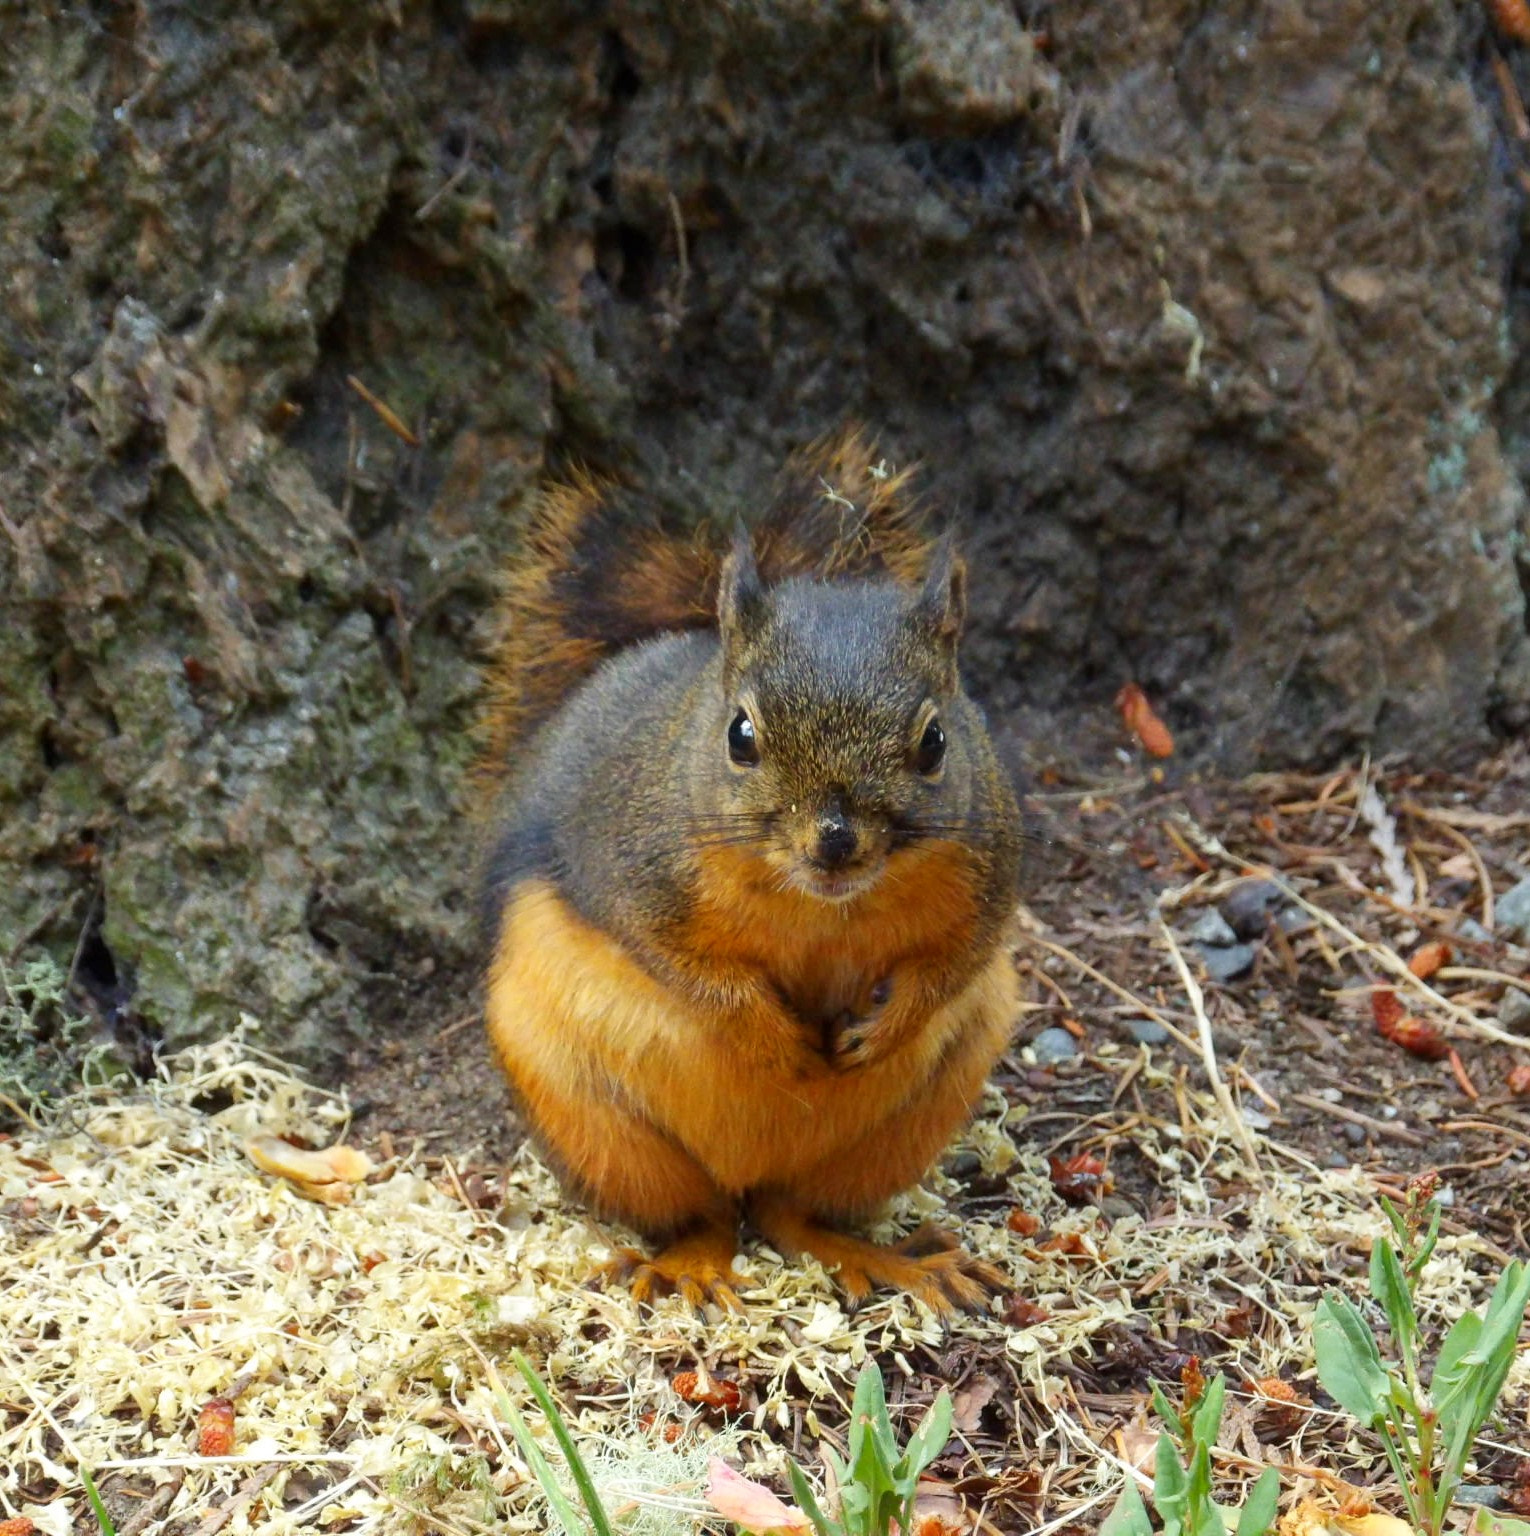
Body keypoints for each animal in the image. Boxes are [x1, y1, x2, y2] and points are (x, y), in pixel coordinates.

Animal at [477, 429, 1024, 1314]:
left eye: (936, 742)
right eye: (740, 735)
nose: (834, 841)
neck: (823, 905)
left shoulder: (992, 877)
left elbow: (953, 963)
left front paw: (886, 1024)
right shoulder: (632, 874)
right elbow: (691, 973)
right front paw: (774, 1039)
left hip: (907, 1120)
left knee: (789, 1215)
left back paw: (889, 1259)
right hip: (592, 1119)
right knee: (703, 1214)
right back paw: (689, 1264)